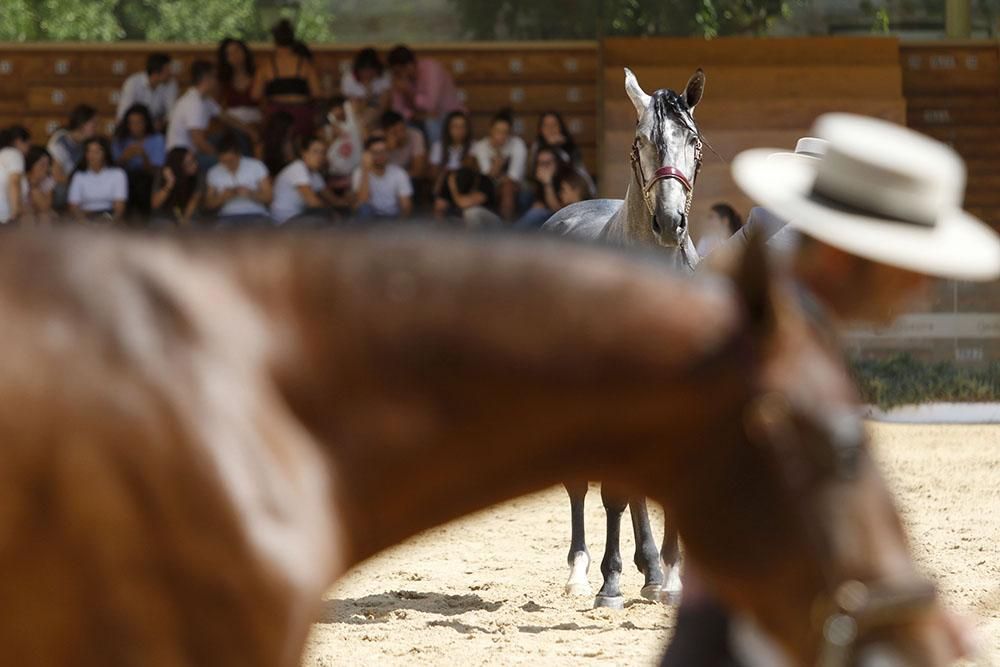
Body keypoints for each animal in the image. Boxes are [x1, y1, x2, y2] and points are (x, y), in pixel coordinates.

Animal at [548, 68, 704, 612]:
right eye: (641, 142)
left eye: (694, 142)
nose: (670, 223)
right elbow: (612, 493)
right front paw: (609, 584)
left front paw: (671, 579)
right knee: (580, 484)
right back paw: (581, 572)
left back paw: (652, 570)